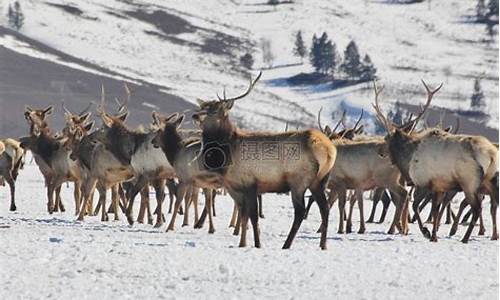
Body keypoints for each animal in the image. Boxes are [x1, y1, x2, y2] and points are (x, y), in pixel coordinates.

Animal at [190, 72, 336, 248]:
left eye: (216, 110)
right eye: (202, 106)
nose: (195, 115)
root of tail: (329, 149)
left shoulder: (250, 183)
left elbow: (253, 217)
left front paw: (257, 244)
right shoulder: (234, 187)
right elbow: (243, 216)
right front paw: (242, 243)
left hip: (299, 180)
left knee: (300, 212)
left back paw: (286, 244)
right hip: (320, 181)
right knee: (325, 208)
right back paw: (323, 245)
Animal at [374, 79, 498, 241]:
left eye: (386, 138)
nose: (379, 152)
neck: (408, 159)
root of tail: (491, 154)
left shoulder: (423, 182)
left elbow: (417, 206)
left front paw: (426, 232)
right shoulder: (439, 186)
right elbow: (435, 209)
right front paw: (434, 235)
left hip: (469, 182)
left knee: (477, 208)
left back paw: (465, 238)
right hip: (490, 181)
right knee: (491, 205)